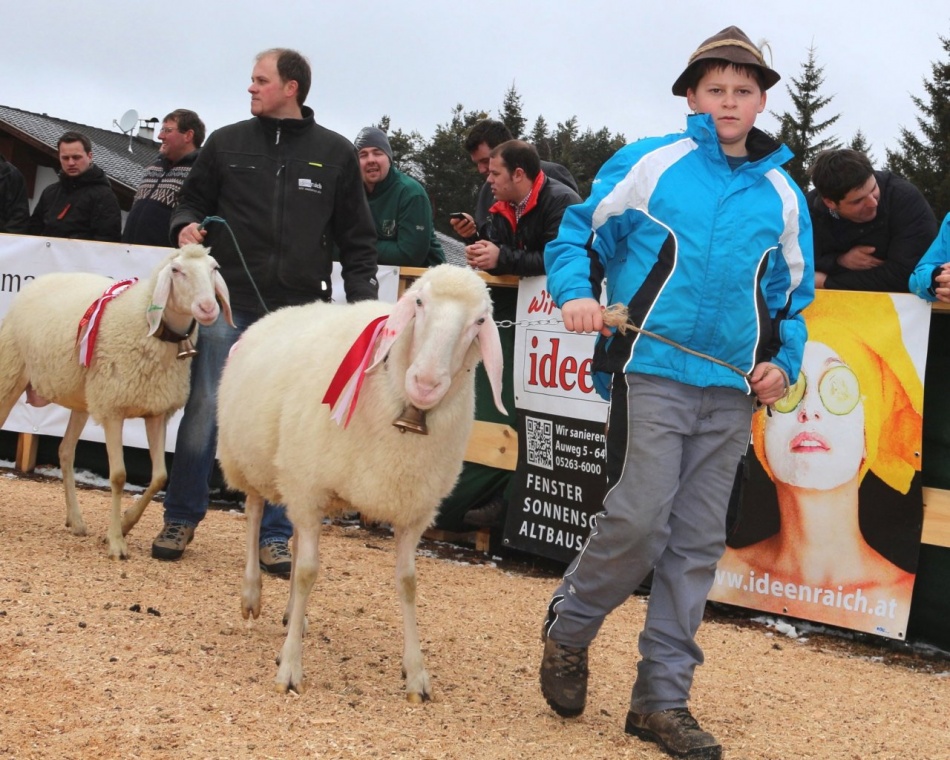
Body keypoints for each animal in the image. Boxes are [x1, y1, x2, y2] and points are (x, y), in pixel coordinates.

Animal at [0, 244, 233, 559]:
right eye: (176, 271)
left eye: (214, 268)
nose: (208, 308)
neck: (148, 326)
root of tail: (41, 280)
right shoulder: (113, 410)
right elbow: (119, 476)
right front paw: (116, 542)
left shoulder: (156, 411)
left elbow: (159, 477)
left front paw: (125, 525)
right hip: (11, 374)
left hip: (82, 399)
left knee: (66, 451)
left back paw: (76, 520)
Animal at [216, 263, 505, 700]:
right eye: (419, 302)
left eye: (480, 322)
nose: (425, 382)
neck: (404, 409)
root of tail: (279, 311)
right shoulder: (309, 483)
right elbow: (307, 573)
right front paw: (290, 667)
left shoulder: (412, 509)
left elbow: (407, 583)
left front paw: (416, 673)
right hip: (252, 459)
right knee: (252, 512)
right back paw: (252, 593)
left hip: (296, 477)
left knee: (295, 538)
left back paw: (293, 614)